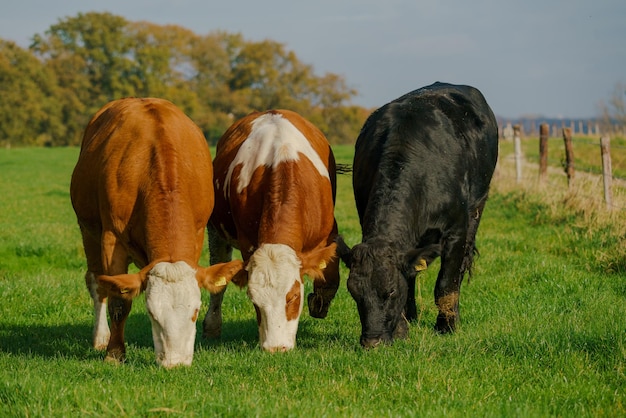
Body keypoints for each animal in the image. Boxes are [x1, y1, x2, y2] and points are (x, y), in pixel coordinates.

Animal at [70, 97, 241, 366]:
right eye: (152, 313)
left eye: (195, 311)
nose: (175, 363)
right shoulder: (111, 240)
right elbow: (119, 301)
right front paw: (114, 353)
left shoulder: (197, 233)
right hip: (88, 230)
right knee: (97, 283)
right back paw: (100, 338)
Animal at [202, 108, 338, 352]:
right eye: (255, 302)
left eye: (293, 297)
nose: (276, 348)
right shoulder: (247, 243)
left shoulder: (325, 237)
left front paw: (319, 304)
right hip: (216, 232)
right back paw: (211, 328)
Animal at [338, 81, 494, 346]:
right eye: (354, 292)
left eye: (390, 291)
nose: (371, 342)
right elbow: (409, 279)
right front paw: (403, 328)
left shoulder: (456, 229)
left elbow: (445, 284)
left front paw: (446, 327)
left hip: (478, 206)